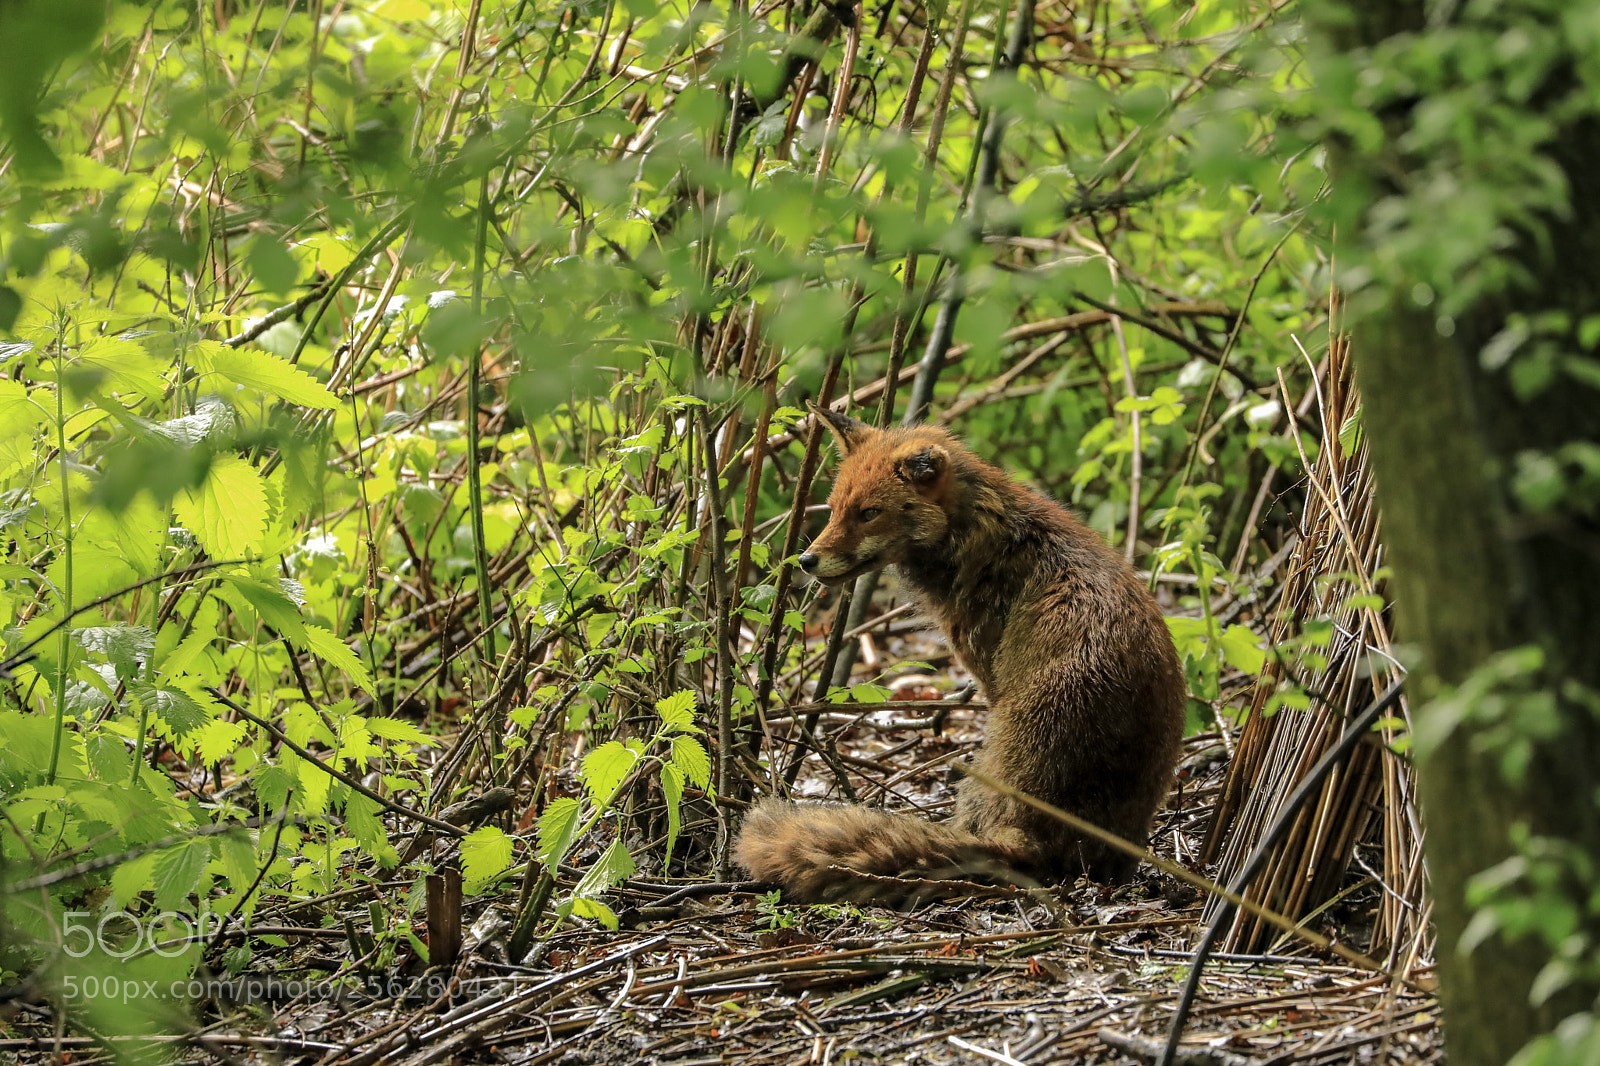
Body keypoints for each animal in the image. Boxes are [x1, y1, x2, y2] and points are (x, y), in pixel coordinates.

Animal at [733, 405, 1186, 903]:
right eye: (833, 510)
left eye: (869, 513)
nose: (806, 561)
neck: (987, 537)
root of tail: (1035, 838)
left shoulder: (988, 676)